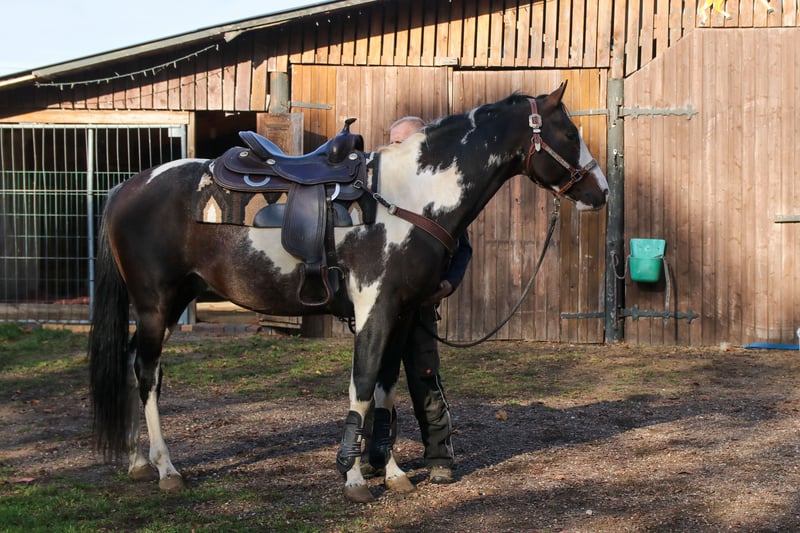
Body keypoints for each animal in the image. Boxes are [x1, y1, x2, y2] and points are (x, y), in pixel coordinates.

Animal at [88, 81, 608, 503]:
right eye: (568, 134)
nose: (600, 192)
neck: (407, 199)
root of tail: (126, 188)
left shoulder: (401, 313)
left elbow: (385, 391)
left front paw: (392, 472)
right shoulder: (375, 308)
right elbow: (361, 386)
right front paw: (354, 477)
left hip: (167, 304)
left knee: (135, 366)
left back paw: (138, 463)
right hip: (156, 305)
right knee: (147, 374)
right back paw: (166, 469)